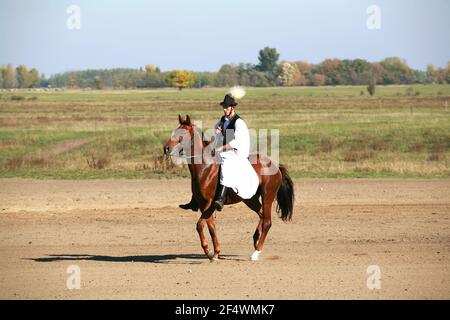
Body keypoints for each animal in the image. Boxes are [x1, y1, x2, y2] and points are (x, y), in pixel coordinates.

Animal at [163, 114, 296, 260]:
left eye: (182, 134)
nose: (166, 148)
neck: (205, 167)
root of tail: (275, 165)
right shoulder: (204, 205)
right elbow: (211, 226)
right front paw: (215, 253)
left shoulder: (210, 203)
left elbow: (200, 225)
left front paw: (208, 251)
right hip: (250, 199)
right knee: (261, 215)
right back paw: (255, 240)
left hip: (267, 196)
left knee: (267, 221)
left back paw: (256, 252)